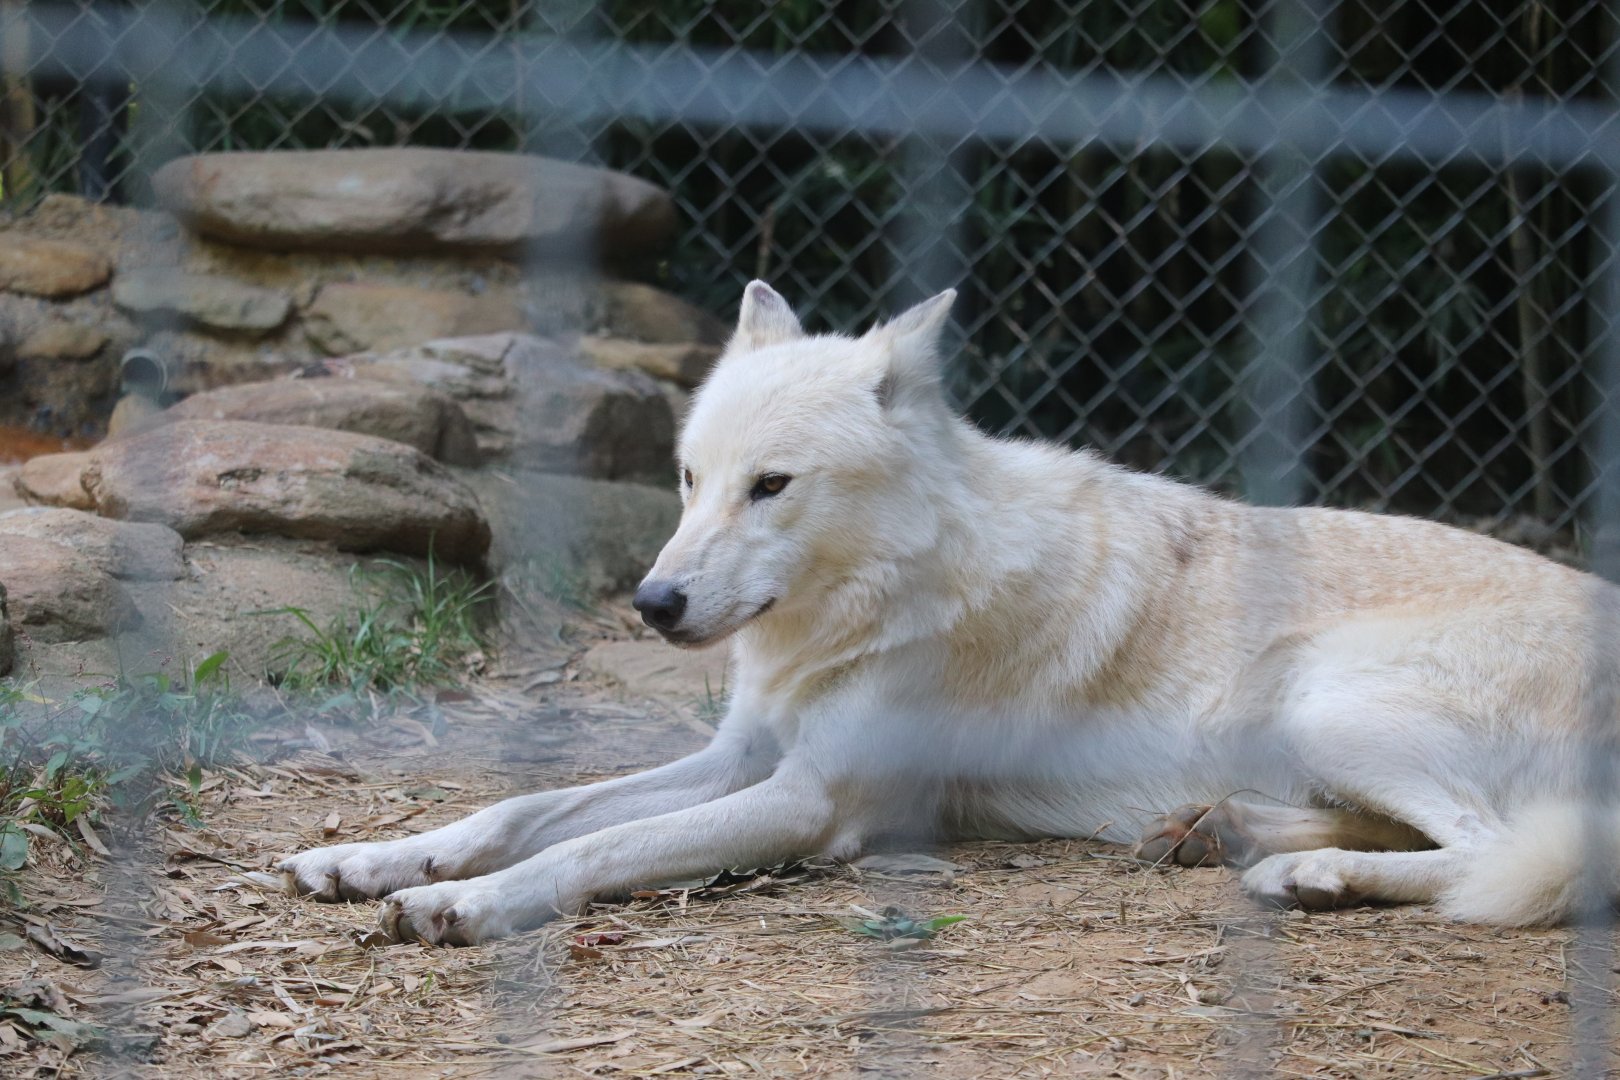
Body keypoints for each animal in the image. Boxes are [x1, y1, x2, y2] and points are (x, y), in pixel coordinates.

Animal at [281, 282, 1620, 944]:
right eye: (690, 478)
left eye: (774, 486)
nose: (654, 603)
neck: (866, 610)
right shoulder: (739, 757)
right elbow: (527, 809)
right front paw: (375, 858)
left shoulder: (810, 804)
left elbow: (589, 850)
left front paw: (459, 906)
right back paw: (1225, 834)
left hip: (1326, 696)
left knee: (1495, 852)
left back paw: (1309, 877)